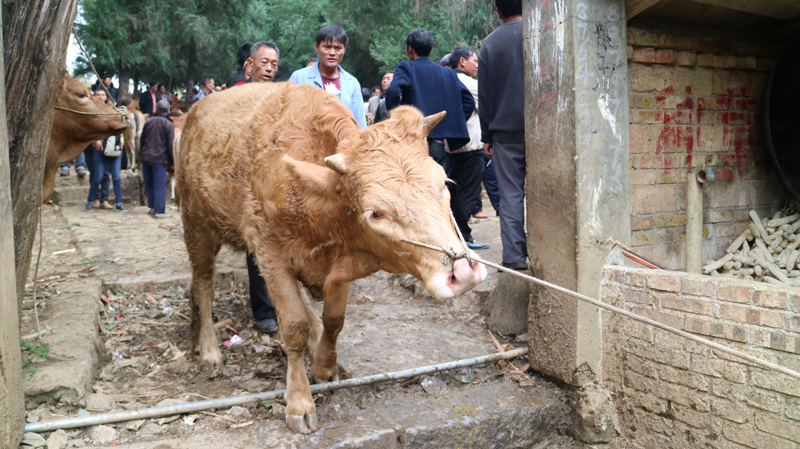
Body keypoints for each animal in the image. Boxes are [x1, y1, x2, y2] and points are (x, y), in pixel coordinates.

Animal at [177, 82, 487, 434]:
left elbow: (334, 319)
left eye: (445, 183)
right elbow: (293, 326)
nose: (463, 272)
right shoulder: (270, 253)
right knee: (203, 285)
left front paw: (325, 365)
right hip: (197, 227)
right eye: (376, 212)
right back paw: (208, 347)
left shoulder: (341, 262)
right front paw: (299, 401)